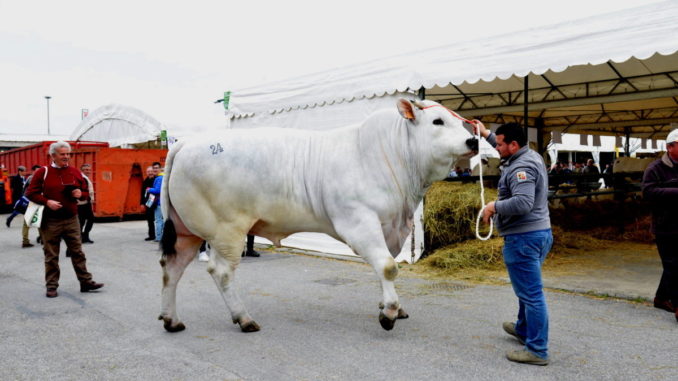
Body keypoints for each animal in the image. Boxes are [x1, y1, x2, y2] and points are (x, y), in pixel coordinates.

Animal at [160, 99, 494, 332]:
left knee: (171, 268)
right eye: (438, 121)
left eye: (459, 121)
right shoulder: (358, 221)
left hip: (186, 231)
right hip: (226, 230)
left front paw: (392, 306)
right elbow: (388, 266)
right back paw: (243, 318)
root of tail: (186, 142)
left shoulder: (388, 227)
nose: (473, 140)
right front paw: (388, 312)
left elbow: (383, 266)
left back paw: (171, 319)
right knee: (221, 272)